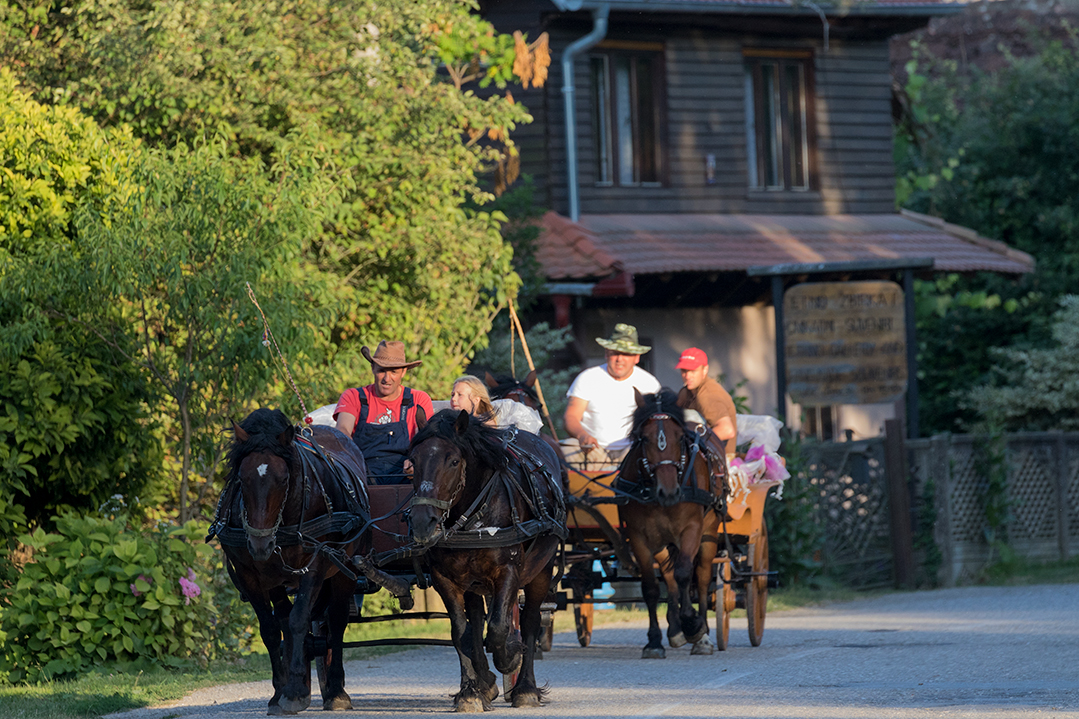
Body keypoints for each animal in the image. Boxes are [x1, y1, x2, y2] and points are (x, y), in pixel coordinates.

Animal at [210, 405, 371, 712]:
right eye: (241, 479)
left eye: (283, 479)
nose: (259, 544)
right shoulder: (251, 574)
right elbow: (272, 629)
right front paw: (280, 692)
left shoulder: (317, 564)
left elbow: (299, 620)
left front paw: (295, 691)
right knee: (285, 618)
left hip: (344, 567)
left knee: (336, 622)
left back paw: (336, 691)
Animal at [407, 405, 569, 708]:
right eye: (412, 460)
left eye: (453, 461)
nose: (423, 522)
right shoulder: (445, 578)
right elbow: (462, 632)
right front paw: (472, 690)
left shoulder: (508, 571)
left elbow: (498, 628)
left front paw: (509, 657)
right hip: (473, 581)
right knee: (476, 620)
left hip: (540, 571)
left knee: (528, 620)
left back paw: (525, 687)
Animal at [617, 388, 725, 656]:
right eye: (644, 439)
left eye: (679, 438)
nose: (669, 492)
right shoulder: (639, 537)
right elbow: (651, 587)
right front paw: (655, 641)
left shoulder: (692, 530)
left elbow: (685, 573)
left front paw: (694, 624)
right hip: (661, 543)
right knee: (669, 578)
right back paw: (676, 630)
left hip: (709, 535)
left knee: (702, 577)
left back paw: (703, 634)